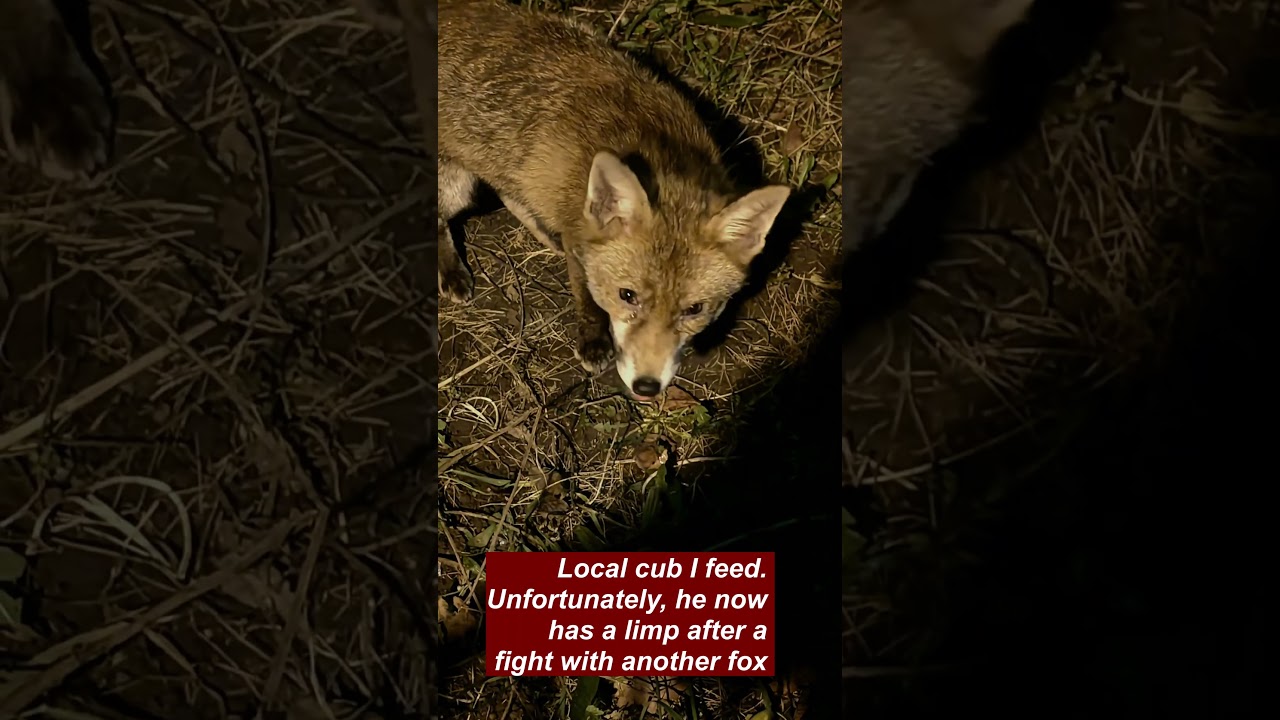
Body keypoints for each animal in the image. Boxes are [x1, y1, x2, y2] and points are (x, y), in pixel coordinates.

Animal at [436, 0, 792, 402]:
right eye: (627, 295)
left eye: (694, 309)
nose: (647, 386)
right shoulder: (579, 237)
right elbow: (586, 297)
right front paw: (593, 341)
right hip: (458, 186)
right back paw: (451, 270)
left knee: (507, 189)